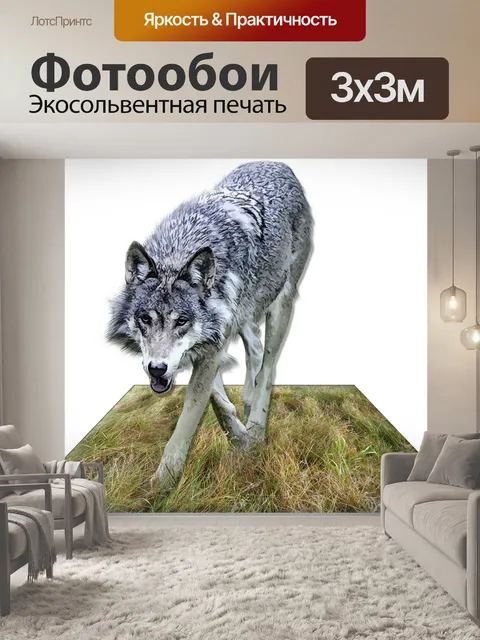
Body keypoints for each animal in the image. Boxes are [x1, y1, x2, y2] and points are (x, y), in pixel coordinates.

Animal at [107, 161, 313, 489]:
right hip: (245, 313)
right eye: (145, 319)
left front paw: (162, 483)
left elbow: (187, 420)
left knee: (269, 366)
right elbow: (217, 399)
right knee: (254, 344)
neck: (179, 251)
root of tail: (278, 164)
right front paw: (237, 434)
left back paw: (257, 426)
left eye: (181, 321)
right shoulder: (209, 341)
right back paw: (248, 400)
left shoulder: (213, 344)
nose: (157, 369)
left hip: (282, 302)